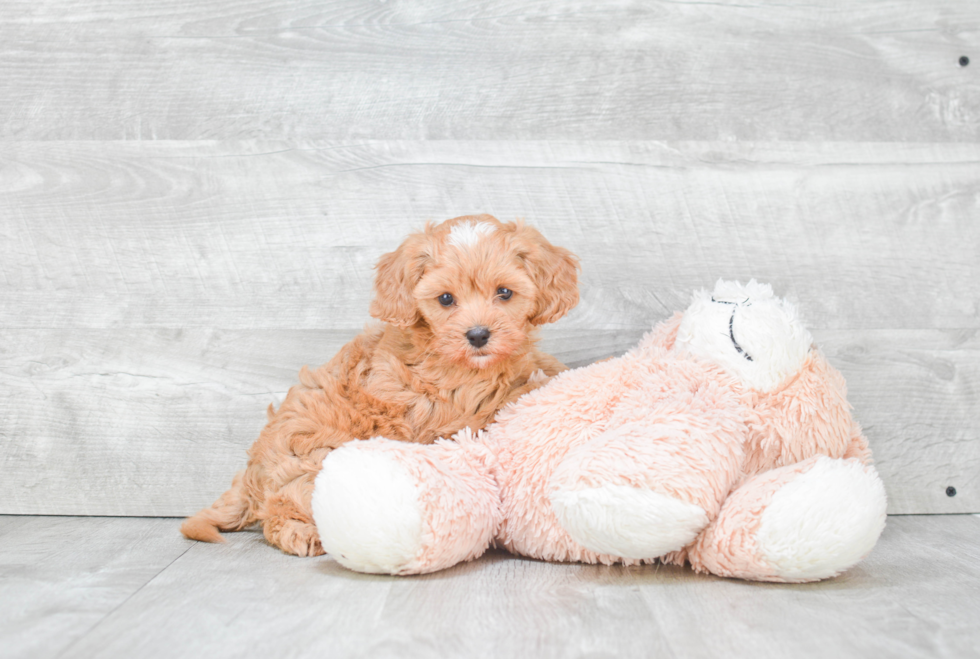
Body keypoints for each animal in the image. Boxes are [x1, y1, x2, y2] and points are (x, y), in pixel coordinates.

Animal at [181, 214, 580, 556]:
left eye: (505, 293)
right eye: (446, 299)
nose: (478, 335)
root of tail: (251, 473)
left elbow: (537, 365)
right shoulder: (455, 408)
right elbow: (513, 394)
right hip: (308, 465)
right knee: (279, 512)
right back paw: (303, 534)